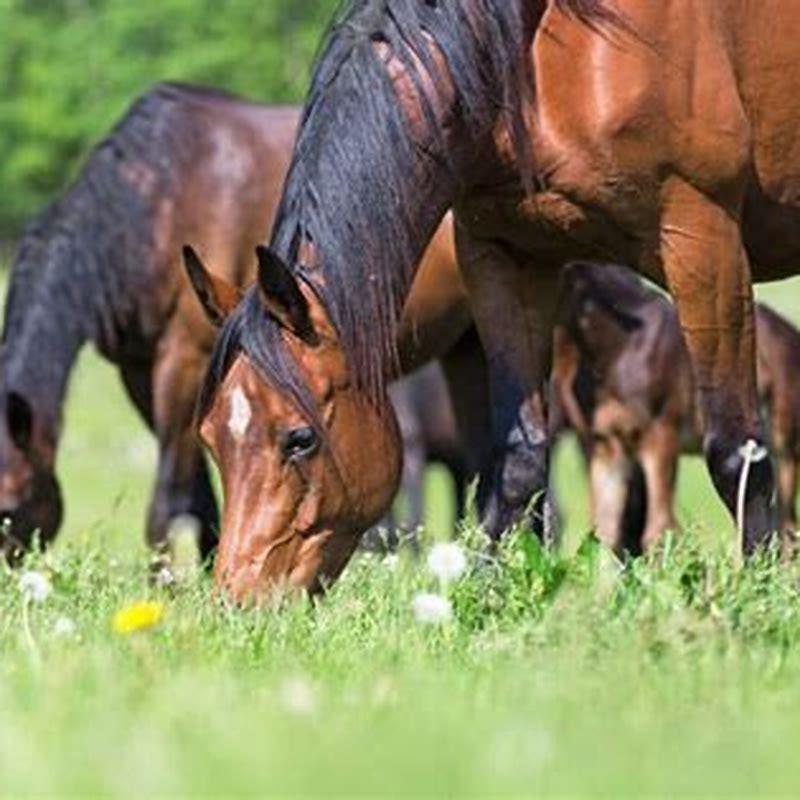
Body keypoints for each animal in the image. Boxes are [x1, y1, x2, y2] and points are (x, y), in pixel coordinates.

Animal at [552, 262, 800, 556]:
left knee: (787, 527)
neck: (622, 348)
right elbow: (606, 532)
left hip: (785, 447)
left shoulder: (661, 438)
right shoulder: (607, 446)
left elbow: (659, 529)